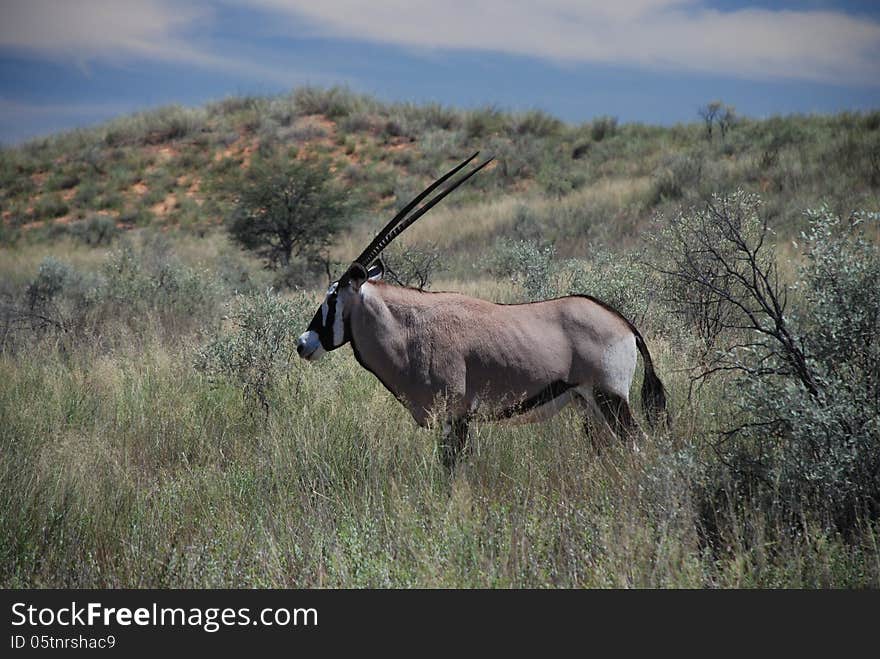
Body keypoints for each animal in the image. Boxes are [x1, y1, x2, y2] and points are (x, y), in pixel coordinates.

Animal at [296, 153, 668, 470]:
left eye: (332, 298)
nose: (303, 343)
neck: (410, 328)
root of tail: (623, 324)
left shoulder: (456, 417)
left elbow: (454, 472)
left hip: (611, 399)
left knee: (638, 446)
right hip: (587, 404)